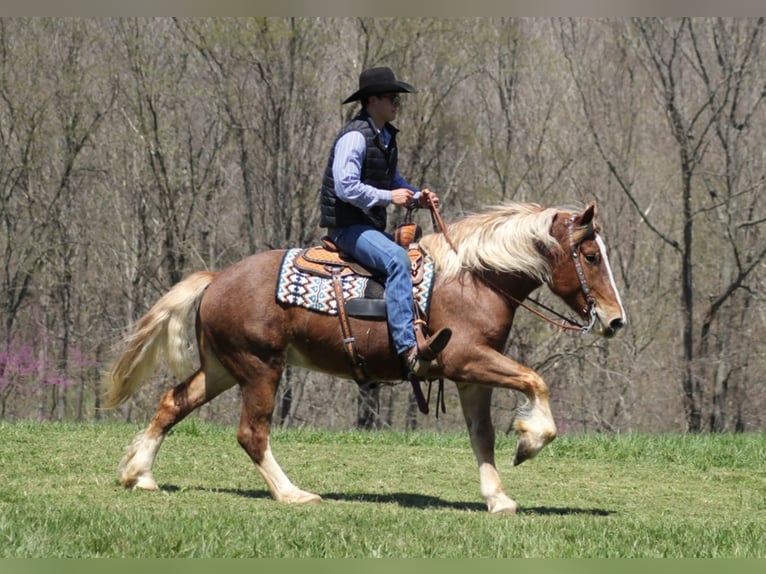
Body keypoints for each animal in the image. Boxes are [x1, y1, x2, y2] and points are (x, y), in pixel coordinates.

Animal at [105, 201, 628, 512]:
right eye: (591, 255)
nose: (615, 320)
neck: (474, 279)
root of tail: (217, 279)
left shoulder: (470, 377)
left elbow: (482, 437)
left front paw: (497, 498)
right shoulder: (467, 359)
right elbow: (536, 382)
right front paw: (530, 441)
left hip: (222, 368)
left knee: (173, 403)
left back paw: (139, 474)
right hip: (260, 369)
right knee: (252, 433)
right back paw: (292, 494)